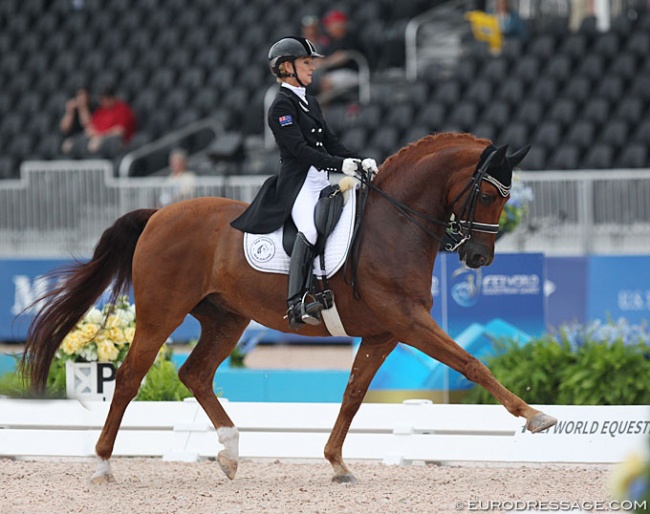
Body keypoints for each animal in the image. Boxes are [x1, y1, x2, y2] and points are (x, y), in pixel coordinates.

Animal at [22, 131, 556, 480]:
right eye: (486, 194)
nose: (478, 257)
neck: (394, 226)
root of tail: (157, 215)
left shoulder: (383, 333)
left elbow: (353, 393)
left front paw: (337, 463)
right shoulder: (408, 321)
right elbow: (470, 363)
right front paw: (535, 416)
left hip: (227, 319)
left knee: (195, 373)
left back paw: (230, 451)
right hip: (161, 314)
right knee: (131, 376)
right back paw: (102, 462)